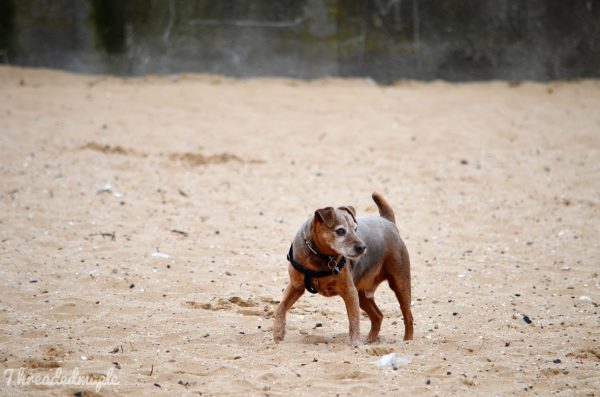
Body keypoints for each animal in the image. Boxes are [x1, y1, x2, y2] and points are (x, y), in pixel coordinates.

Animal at [274, 192, 414, 344]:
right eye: (340, 231)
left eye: (356, 229)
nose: (363, 247)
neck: (320, 256)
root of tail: (387, 221)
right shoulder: (296, 286)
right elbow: (280, 308)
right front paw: (278, 334)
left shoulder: (349, 292)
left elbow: (354, 322)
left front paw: (355, 344)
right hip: (362, 293)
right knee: (378, 315)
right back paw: (370, 340)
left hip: (400, 284)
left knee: (408, 316)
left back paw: (408, 341)